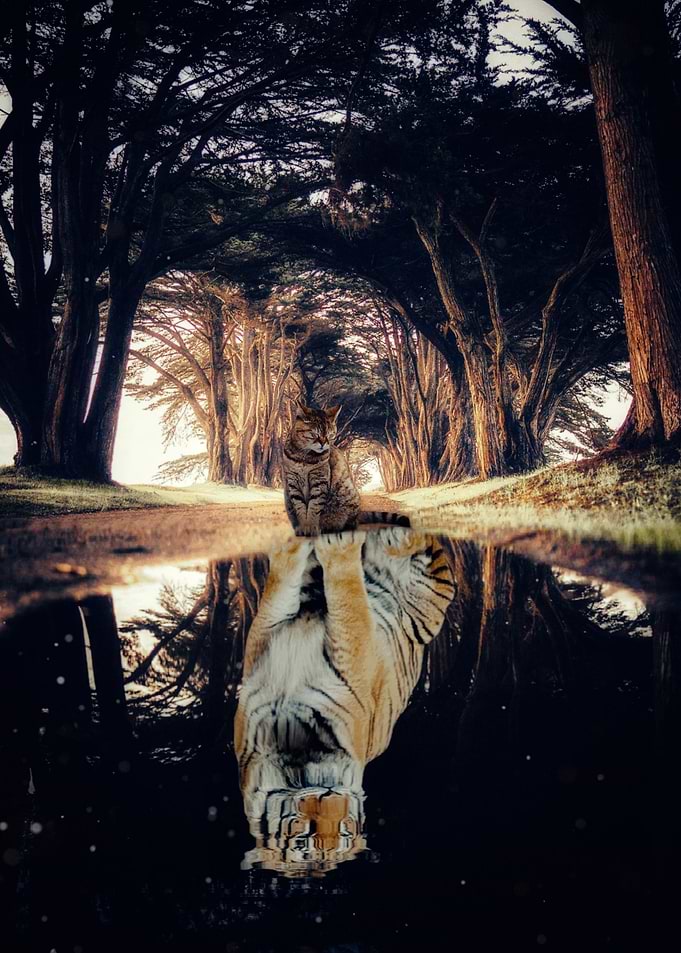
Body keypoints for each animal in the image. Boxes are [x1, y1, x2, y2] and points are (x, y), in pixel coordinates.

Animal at [234, 527, 455, 876]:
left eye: (346, 829)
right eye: (304, 840)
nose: (330, 793)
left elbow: (348, 602)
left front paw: (333, 546)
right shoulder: (260, 643)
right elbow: (292, 597)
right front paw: (303, 548)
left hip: (429, 595)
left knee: (430, 547)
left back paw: (395, 536)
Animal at [281, 402, 410, 535]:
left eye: (330, 435)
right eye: (315, 434)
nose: (324, 443)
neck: (304, 457)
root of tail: (359, 513)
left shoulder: (319, 482)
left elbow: (314, 506)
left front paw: (311, 526)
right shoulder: (292, 482)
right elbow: (300, 507)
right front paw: (303, 527)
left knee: (351, 522)